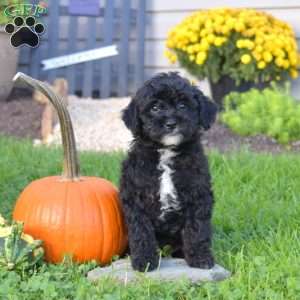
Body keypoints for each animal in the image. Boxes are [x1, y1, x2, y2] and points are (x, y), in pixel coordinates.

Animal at [120, 72, 218, 272]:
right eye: (155, 107)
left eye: (183, 105)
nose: (171, 123)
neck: (166, 151)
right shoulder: (135, 198)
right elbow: (141, 231)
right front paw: (145, 261)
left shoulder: (198, 195)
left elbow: (197, 229)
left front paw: (200, 258)